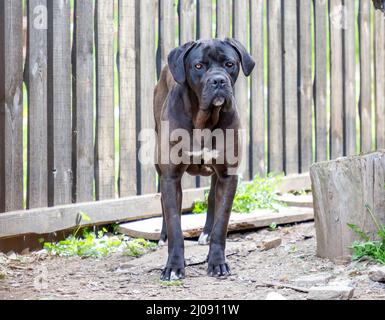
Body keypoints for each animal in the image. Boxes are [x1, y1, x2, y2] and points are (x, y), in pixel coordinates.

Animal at [153, 39, 255, 280]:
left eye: (229, 64)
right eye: (199, 66)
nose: (218, 80)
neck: (204, 120)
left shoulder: (228, 175)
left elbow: (222, 223)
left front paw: (217, 262)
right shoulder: (171, 177)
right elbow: (175, 224)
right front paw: (173, 266)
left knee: (212, 199)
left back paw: (206, 234)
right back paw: (162, 237)